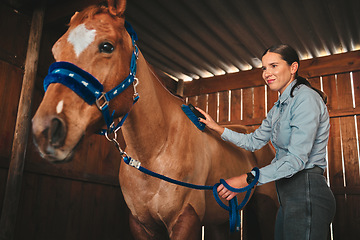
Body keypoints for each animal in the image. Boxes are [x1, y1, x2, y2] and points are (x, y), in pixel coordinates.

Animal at [31, 0, 278, 239]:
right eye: (56, 49)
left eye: (107, 46)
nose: (46, 130)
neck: (154, 152)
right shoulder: (141, 225)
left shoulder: (186, 220)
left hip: (266, 207)